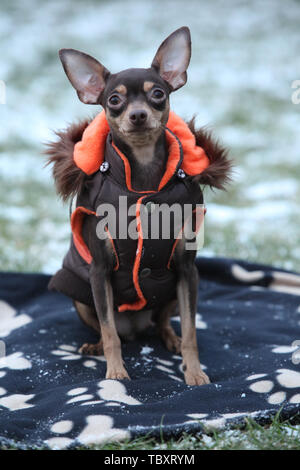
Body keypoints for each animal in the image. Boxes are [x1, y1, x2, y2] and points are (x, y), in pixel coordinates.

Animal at [47, 26, 232, 386]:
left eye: (158, 93)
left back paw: (170, 339)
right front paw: (115, 373)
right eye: (114, 100)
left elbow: (192, 330)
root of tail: (136, 327)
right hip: (81, 295)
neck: (143, 177)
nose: (137, 114)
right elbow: (109, 331)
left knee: (162, 322)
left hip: (171, 293)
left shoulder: (187, 271)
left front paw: (195, 373)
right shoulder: (99, 272)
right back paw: (95, 346)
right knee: (108, 328)